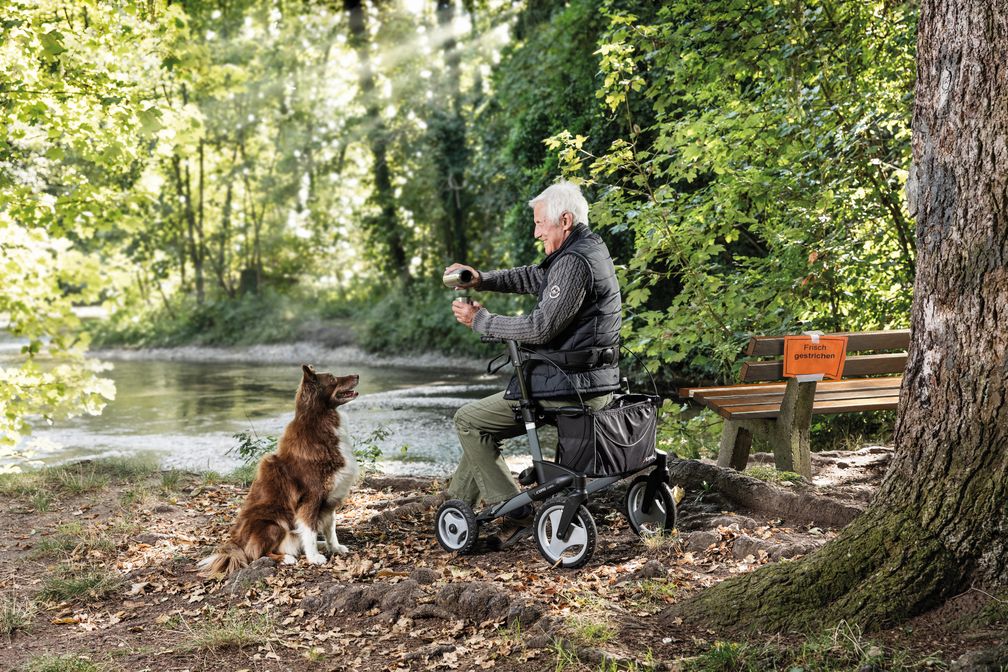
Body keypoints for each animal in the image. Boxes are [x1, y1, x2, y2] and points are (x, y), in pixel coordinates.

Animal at [198, 364, 360, 576]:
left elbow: (330, 527)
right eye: (333, 378)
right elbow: (309, 530)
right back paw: (286, 558)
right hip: (273, 524)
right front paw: (314, 557)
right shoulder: (311, 497)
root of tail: (236, 543)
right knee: (255, 554)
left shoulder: (329, 499)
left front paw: (334, 547)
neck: (320, 422)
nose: (357, 375)